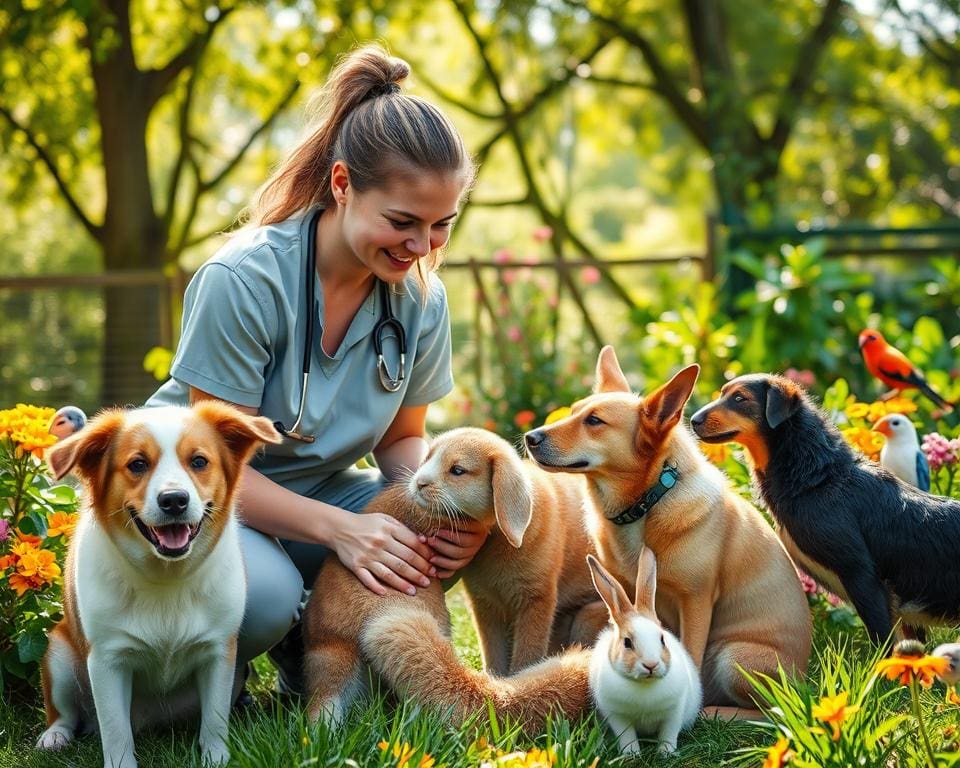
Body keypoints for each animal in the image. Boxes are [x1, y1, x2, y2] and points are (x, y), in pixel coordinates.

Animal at [408, 428, 604, 676]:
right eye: (426, 459)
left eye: (457, 470)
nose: (419, 483)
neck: (496, 540)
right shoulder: (485, 605)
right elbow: (493, 653)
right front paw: (495, 679)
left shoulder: (536, 601)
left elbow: (526, 656)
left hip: (587, 616)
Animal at [524, 348, 808, 708]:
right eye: (573, 412)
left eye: (594, 421)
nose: (529, 437)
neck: (646, 504)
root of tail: (803, 680)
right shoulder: (627, 597)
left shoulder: (696, 602)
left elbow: (691, 655)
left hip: (732, 657)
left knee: (769, 708)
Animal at [580, 544, 700, 756]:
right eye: (627, 642)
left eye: (662, 639)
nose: (651, 665)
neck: (645, 685)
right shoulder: (618, 716)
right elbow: (627, 737)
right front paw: (631, 755)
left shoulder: (674, 712)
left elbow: (668, 734)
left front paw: (665, 753)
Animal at [692, 372, 960, 640]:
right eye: (723, 393)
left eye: (740, 398)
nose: (693, 420)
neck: (818, 477)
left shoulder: (862, 575)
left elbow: (883, 641)